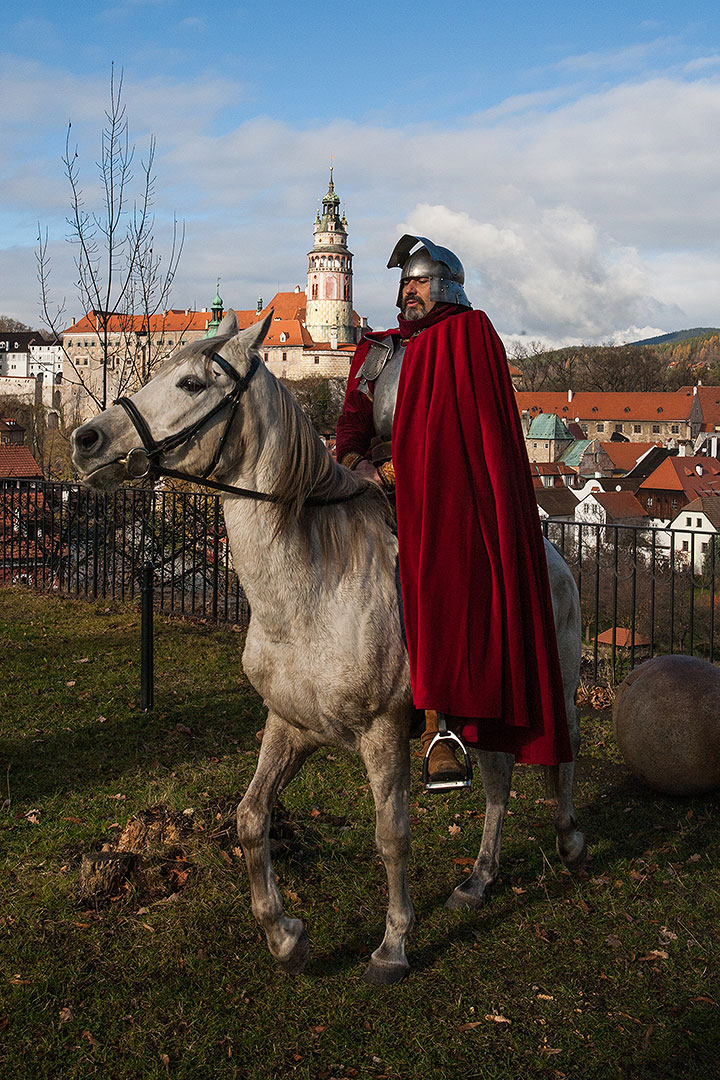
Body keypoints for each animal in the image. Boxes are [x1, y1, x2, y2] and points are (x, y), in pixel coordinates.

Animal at [71, 311, 587, 989]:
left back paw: (570, 839)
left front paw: (393, 944)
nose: (85, 440)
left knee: (561, 752)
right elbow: (250, 817)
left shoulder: (384, 733)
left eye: (189, 383)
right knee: (499, 781)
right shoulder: (288, 724)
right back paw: (478, 879)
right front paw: (285, 937)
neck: (310, 590)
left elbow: (392, 836)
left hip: (554, 683)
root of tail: (553, 557)